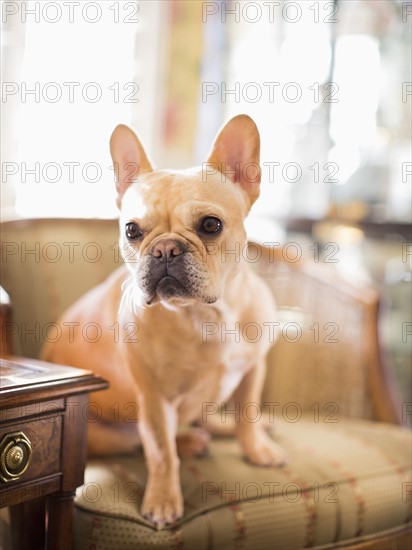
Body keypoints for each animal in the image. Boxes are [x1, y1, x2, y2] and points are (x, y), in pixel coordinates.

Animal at [42, 115, 286, 532]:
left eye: (210, 225)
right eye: (132, 231)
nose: (165, 249)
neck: (207, 314)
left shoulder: (254, 367)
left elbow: (247, 411)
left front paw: (255, 447)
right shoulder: (154, 399)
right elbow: (159, 450)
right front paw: (162, 500)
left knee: (212, 414)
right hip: (108, 435)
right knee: (145, 441)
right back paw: (190, 442)